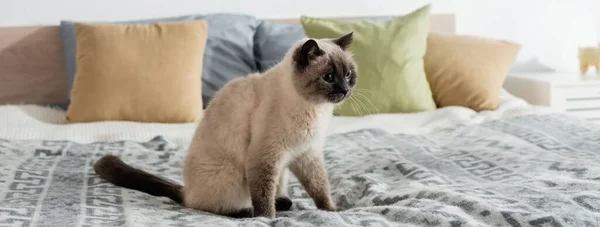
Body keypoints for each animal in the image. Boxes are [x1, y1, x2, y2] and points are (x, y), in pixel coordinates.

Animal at [94, 31, 356, 218]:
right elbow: (263, 197)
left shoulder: (306, 155)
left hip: (282, 174)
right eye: (328, 77)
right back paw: (247, 212)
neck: (316, 110)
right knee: (212, 207)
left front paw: (332, 211)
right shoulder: (266, 157)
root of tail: (186, 191)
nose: (345, 90)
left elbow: (320, 188)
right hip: (230, 176)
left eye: (348, 74)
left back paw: (283, 202)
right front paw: (267, 220)